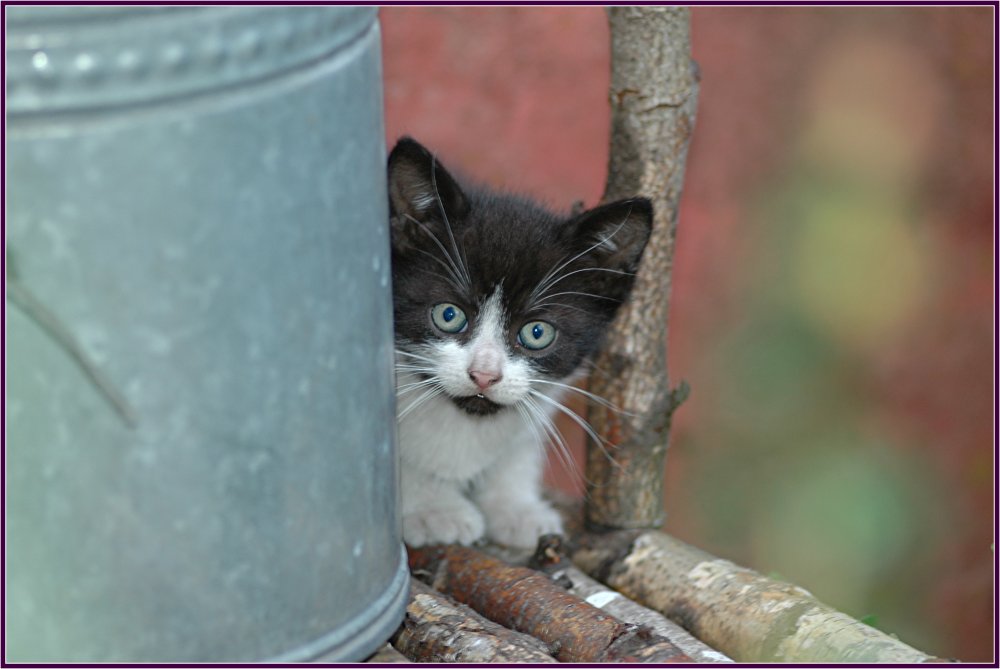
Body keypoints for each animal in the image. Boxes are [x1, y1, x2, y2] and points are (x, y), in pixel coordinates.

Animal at [386, 137, 652, 548]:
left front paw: (515, 508)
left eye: (536, 333)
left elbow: (519, 447)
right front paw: (434, 510)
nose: (484, 375)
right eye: (448, 315)